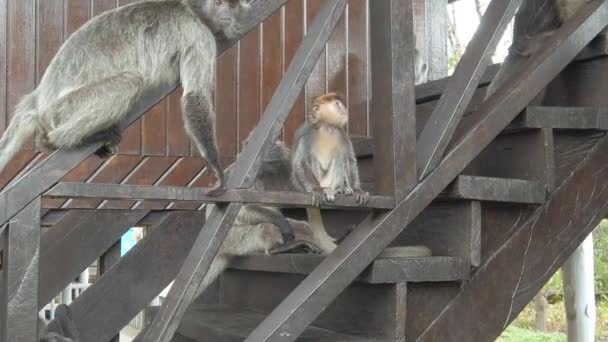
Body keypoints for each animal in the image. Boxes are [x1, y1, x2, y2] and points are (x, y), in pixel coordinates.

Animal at [0, 0, 254, 195]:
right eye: (218, 3)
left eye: (231, 4)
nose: (227, 13)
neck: (188, 9)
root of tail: (39, 97)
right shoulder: (199, 34)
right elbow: (195, 96)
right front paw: (215, 165)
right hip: (61, 110)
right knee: (131, 82)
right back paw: (58, 140)